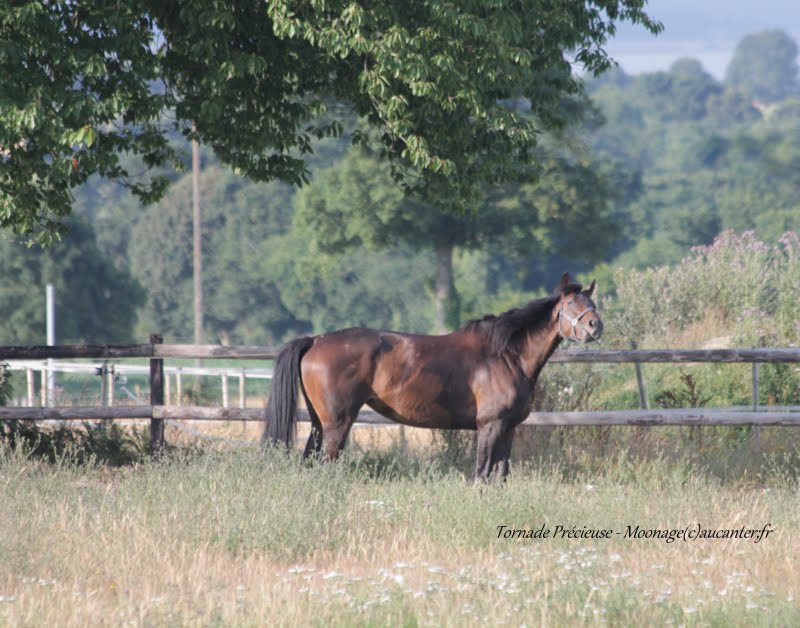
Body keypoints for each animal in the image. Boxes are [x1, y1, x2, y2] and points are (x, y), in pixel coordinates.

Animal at [262, 272, 600, 480]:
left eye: (593, 303)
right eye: (570, 304)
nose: (596, 326)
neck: (505, 354)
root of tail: (315, 340)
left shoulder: (509, 428)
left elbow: (499, 476)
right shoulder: (490, 426)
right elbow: (482, 474)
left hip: (319, 424)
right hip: (337, 424)